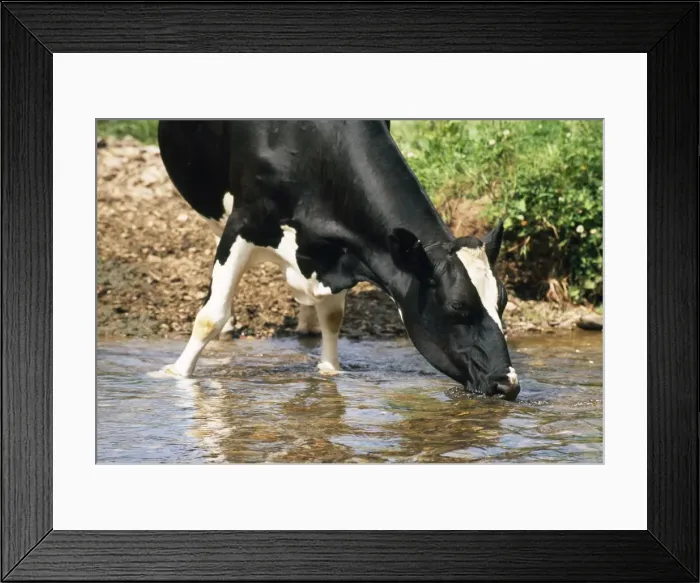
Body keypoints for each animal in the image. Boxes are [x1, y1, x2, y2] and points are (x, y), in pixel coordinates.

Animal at [156, 120, 520, 400]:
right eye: (457, 306)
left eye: (502, 301)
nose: (508, 384)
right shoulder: (244, 221)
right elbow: (209, 317)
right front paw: (175, 373)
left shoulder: (345, 249)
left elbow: (332, 318)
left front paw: (330, 371)